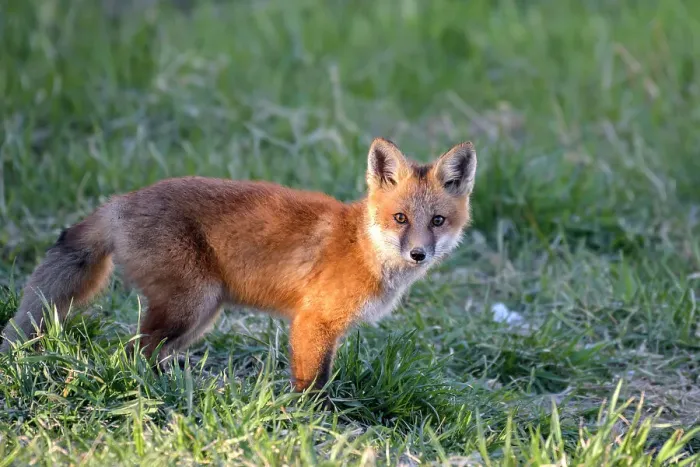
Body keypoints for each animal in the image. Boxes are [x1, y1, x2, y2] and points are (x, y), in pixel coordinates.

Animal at [0, 138, 477, 393]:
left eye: (437, 221)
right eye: (400, 218)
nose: (419, 254)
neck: (362, 246)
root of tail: (120, 202)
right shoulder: (314, 322)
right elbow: (311, 386)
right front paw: (312, 426)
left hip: (200, 315)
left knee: (146, 353)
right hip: (191, 304)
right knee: (129, 352)